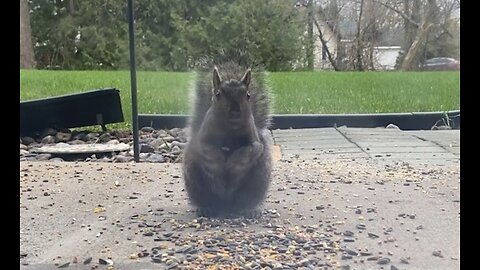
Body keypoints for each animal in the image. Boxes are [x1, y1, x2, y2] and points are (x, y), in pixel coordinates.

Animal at [183, 61, 274, 217]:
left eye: (248, 95)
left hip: (258, 181)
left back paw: (249, 209)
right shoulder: (201, 140)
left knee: (246, 201)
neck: (230, 131)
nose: (235, 112)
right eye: (218, 94)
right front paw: (219, 159)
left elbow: (251, 150)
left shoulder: (255, 141)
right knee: (206, 199)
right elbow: (206, 148)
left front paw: (233, 161)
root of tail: (226, 205)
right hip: (195, 179)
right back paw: (206, 208)